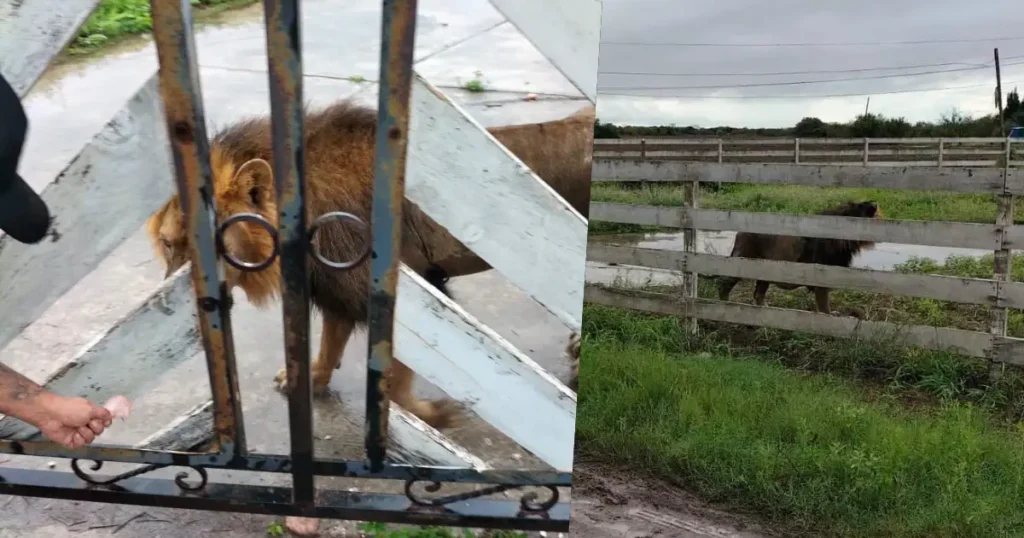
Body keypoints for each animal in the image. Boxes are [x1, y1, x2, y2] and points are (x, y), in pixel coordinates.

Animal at [146, 99, 592, 427]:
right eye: (169, 244)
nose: (173, 307)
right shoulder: (336, 289)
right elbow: (330, 343)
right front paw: (309, 378)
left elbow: (397, 381)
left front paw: (432, 416)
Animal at [716, 200, 882, 315]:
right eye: (861, 206)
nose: (874, 203)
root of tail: (740, 232)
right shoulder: (821, 278)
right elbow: (824, 305)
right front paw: (829, 318)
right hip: (742, 262)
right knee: (724, 283)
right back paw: (726, 305)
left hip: (765, 272)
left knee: (758, 294)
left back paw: (766, 310)